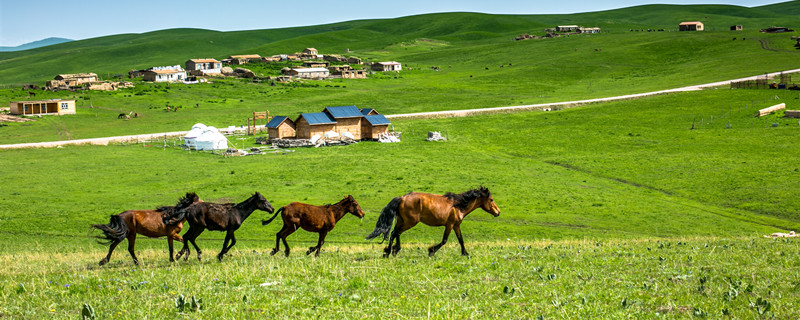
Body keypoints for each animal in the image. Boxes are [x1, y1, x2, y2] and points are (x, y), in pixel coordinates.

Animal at [364, 188, 500, 258]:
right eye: (491, 199)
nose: (498, 212)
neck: (458, 205)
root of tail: (402, 198)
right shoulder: (449, 225)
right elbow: (444, 240)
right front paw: (431, 251)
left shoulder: (456, 225)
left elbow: (461, 240)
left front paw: (465, 253)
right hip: (410, 222)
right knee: (395, 233)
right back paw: (392, 251)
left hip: (402, 221)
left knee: (394, 233)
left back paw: (389, 251)